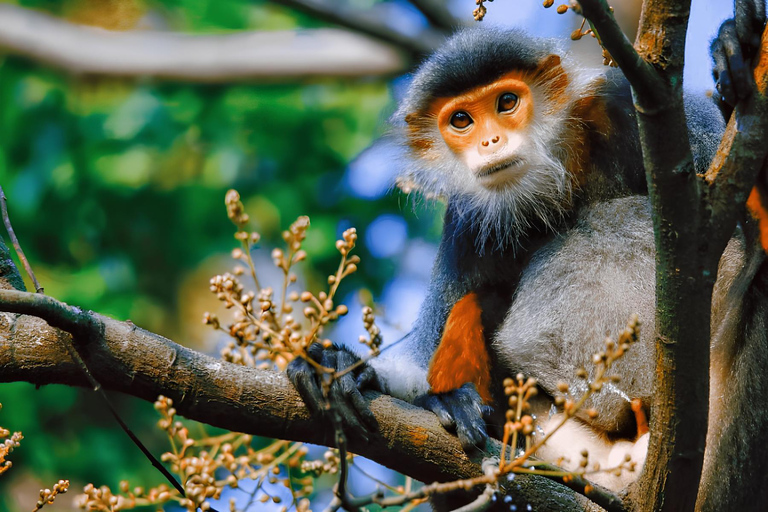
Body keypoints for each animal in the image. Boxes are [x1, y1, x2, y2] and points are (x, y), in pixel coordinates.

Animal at [286, 10, 768, 506]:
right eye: (461, 120)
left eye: (506, 102)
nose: (491, 141)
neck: (557, 174)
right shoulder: (468, 218)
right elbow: (423, 353)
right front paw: (344, 368)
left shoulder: (633, 107)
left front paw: (737, 45)